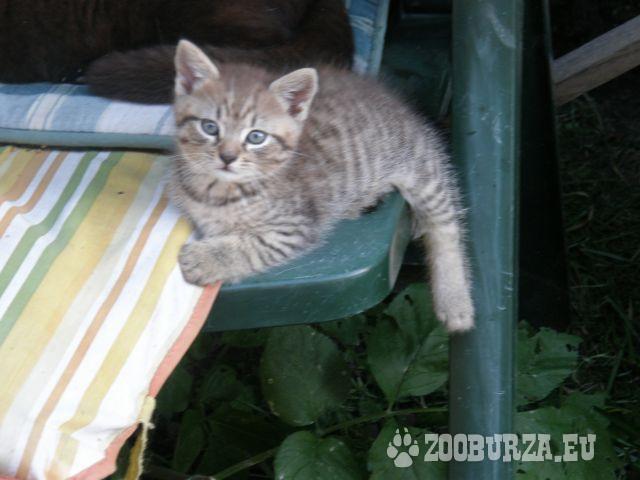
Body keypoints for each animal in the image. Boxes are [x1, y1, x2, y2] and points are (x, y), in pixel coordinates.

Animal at [170, 40, 474, 332]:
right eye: (210, 127)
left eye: (256, 137)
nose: (227, 157)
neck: (219, 190)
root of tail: (398, 103)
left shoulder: (294, 227)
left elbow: (253, 246)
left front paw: (204, 259)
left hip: (420, 165)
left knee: (446, 224)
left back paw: (455, 300)